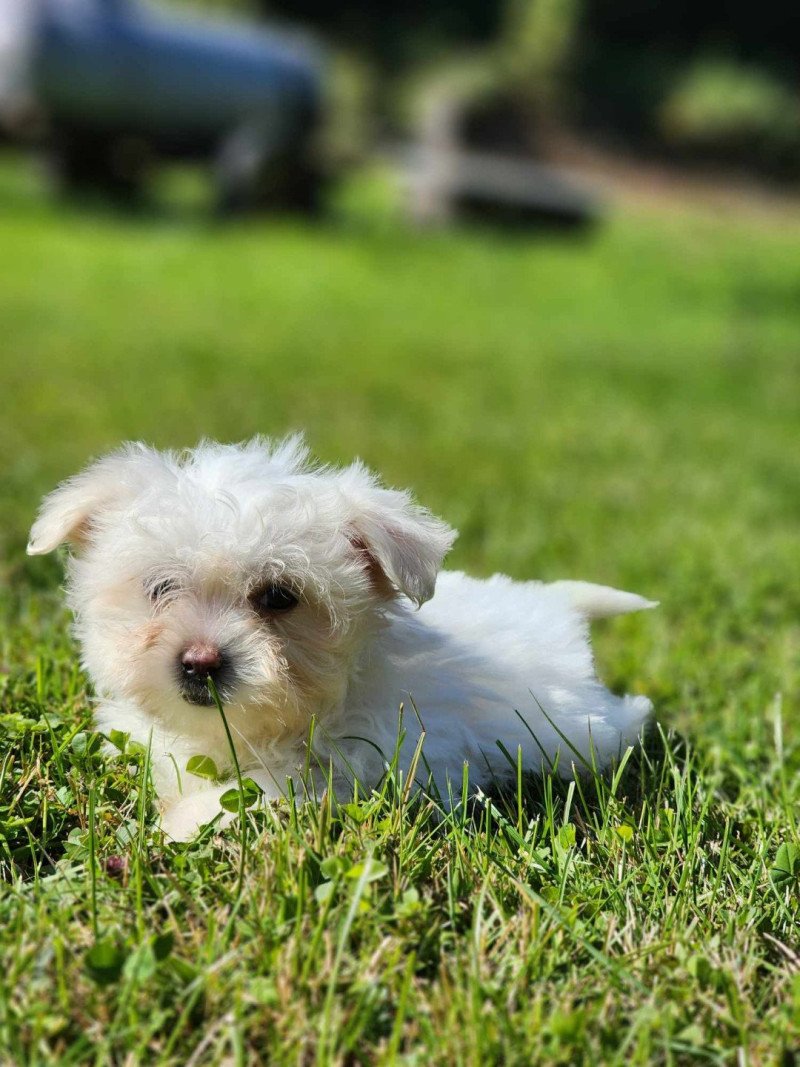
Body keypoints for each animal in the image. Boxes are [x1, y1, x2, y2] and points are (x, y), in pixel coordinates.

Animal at [29, 437, 657, 836]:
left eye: (278, 597)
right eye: (160, 587)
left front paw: (182, 822)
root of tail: (554, 606)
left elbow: (257, 793)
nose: (201, 660)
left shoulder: (351, 765)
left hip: (577, 734)